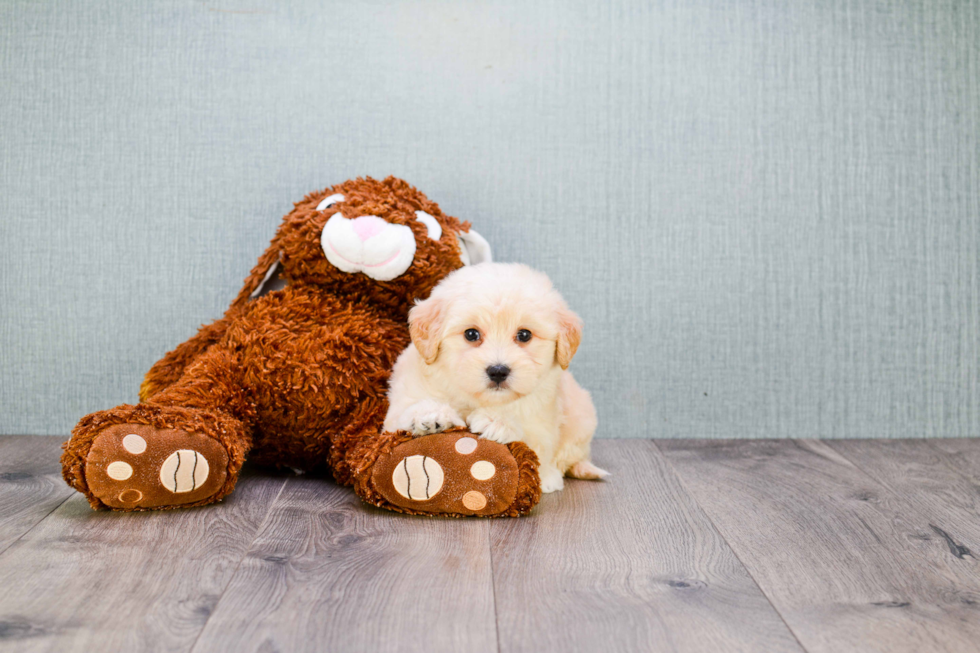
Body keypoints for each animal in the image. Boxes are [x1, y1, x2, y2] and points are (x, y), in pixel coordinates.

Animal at [382, 262, 604, 492]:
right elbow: (402, 415)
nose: (498, 370)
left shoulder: (543, 417)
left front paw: (497, 422)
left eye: (524, 335)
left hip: (582, 416)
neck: (476, 398)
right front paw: (430, 414)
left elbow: (533, 442)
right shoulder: (401, 401)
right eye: (471, 334)